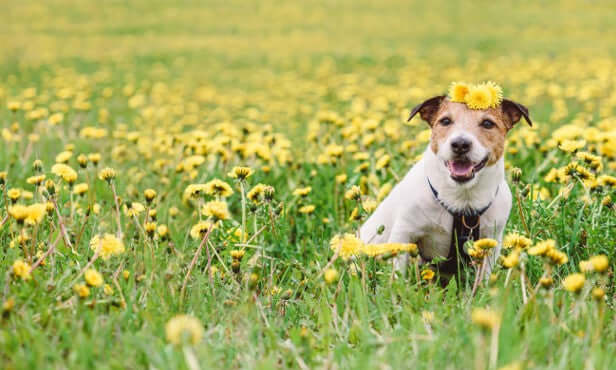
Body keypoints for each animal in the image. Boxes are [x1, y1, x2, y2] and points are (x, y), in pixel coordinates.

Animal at [358, 92, 532, 278]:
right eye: (445, 121)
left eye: (487, 123)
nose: (460, 144)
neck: (463, 199)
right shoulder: (404, 234)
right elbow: (398, 275)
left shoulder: (490, 243)